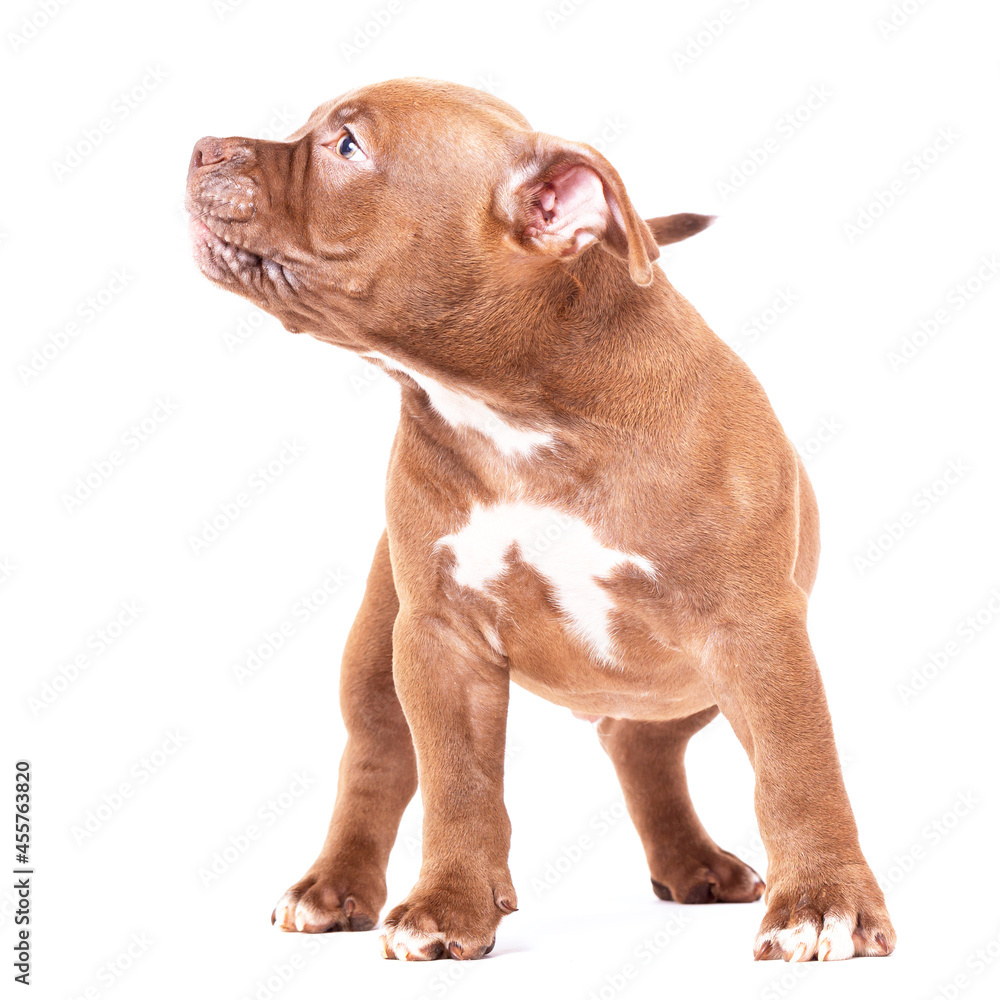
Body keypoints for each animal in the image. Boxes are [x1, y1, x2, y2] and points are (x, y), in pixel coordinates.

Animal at [184, 74, 896, 964]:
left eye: (346, 145)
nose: (202, 146)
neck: (517, 403)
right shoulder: (440, 638)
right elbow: (456, 782)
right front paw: (448, 905)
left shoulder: (755, 629)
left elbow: (798, 770)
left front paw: (824, 903)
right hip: (379, 648)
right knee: (378, 757)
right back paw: (331, 886)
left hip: (692, 676)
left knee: (640, 740)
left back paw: (692, 863)